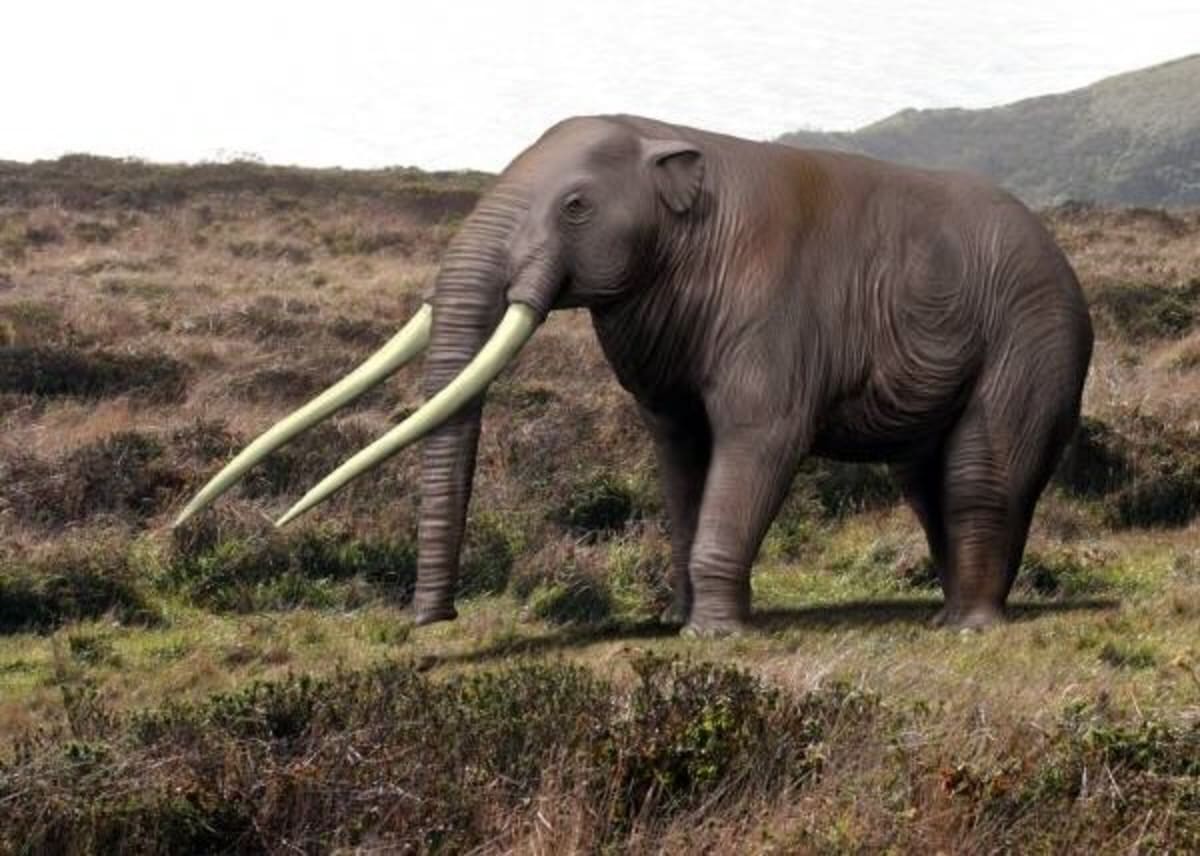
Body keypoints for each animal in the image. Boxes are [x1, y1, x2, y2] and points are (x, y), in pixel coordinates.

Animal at [175, 114, 1094, 636]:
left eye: (576, 206)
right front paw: (682, 623)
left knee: (979, 475)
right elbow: (681, 453)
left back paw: (971, 630)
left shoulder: (774, 320)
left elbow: (758, 439)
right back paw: (951, 613)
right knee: (927, 481)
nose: (435, 623)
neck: (675, 144)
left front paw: (715, 639)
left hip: (1031, 340)